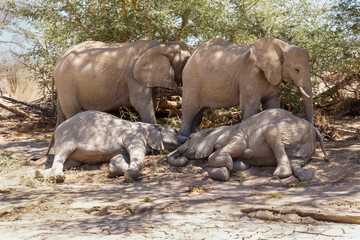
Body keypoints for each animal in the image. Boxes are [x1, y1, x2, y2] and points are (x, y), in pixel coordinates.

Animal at [35, 110, 180, 182]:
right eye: (175, 131)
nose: (178, 132)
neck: (144, 125)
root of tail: (54, 132)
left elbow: (121, 156)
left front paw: (113, 171)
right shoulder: (134, 135)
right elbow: (137, 150)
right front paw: (133, 175)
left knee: (71, 161)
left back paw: (40, 174)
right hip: (66, 136)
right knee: (63, 154)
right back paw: (58, 177)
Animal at [53, 39, 191, 127]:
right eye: (187, 60)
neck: (161, 45)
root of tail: (59, 58)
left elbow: (151, 101)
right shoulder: (133, 78)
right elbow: (140, 102)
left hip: (63, 83)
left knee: (62, 112)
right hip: (66, 80)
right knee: (72, 109)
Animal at [167, 109, 328, 182]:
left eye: (190, 138)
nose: (181, 156)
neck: (215, 129)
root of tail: (314, 129)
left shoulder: (232, 137)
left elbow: (240, 144)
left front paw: (227, 164)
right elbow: (242, 164)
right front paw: (229, 168)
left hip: (289, 130)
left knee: (272, 134)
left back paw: (280, 174)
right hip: (305, 147)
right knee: (295, 161)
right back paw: (308, 175)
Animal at [179, 36, 314, 140]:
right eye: (297, 69)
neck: (279, 45)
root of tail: (192, 54)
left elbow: (272, 104)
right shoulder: (250, 74)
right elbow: (250, 105)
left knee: (197, 113)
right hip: (191, 80)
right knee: (189, 109)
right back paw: (183, 139)